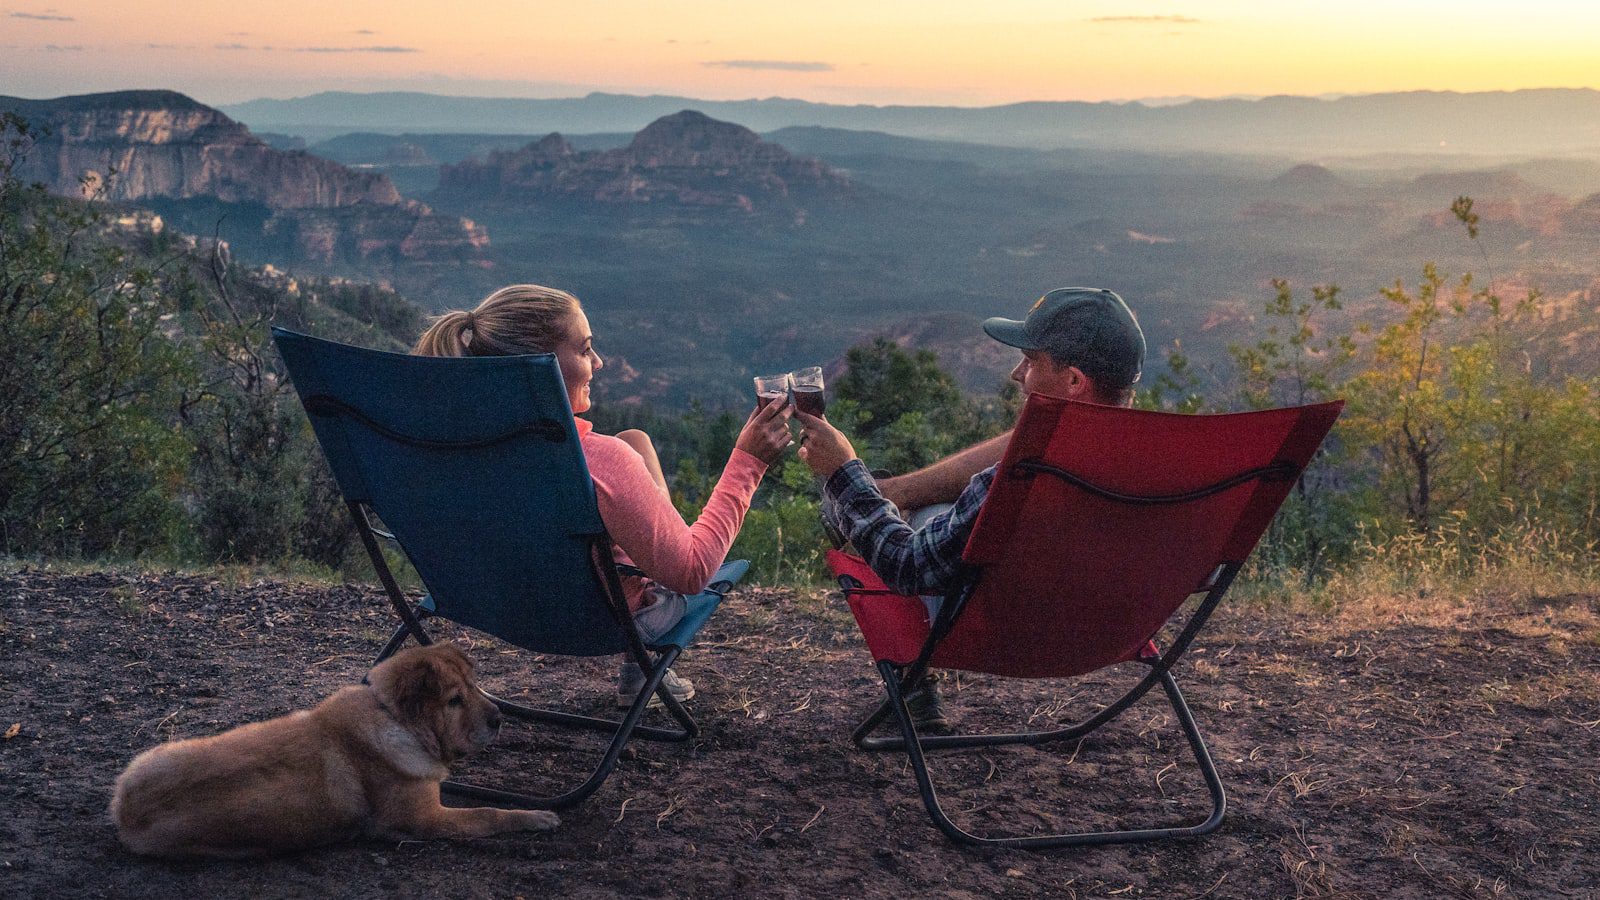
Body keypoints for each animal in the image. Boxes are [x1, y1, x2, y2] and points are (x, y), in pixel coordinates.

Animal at [108, 637, 556, 851]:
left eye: (474, 685)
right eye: (453, 701)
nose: (499, 719)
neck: (394, 719)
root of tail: (125, 810)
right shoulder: (425, 818)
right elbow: (489, 813)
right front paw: (537, 817)